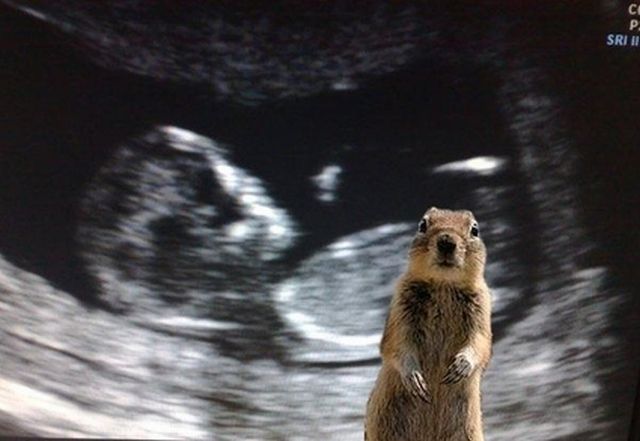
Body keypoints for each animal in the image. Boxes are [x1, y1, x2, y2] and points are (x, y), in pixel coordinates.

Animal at [365, 207, 492, 441]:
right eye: (422, 225)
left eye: (475, 229)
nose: (446, 241)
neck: (444, 284)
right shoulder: (401, 306)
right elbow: (397, 345)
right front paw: (416, 380)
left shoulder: (482, 308)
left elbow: (480, 343)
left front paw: (459, 367)